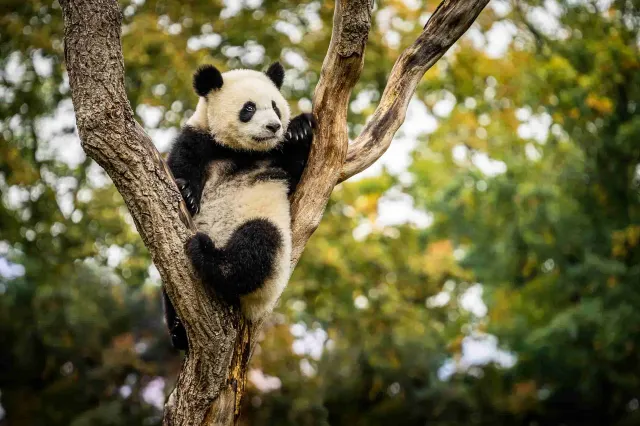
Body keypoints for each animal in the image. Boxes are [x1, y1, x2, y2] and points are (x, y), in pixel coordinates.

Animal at [162, 62, 316, 350]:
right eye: (249, 108)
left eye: (275, 106)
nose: (274, 126)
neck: (240, 151)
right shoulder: (198, 137)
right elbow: (180, 163)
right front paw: (187, 192)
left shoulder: (278, 160)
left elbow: (300, 173)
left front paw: (300, 129)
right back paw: (178, 331)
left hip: (268, 254)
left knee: (256, 247)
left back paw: (208, 255)